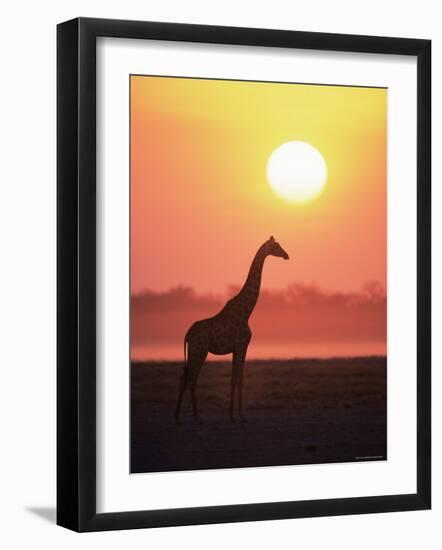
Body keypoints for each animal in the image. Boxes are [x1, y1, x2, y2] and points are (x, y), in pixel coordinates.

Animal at [176, 238, 290, 426]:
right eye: (276, 246)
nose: (286, 255)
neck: (247, 312)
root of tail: (187, 335)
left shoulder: (236, 348)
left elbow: (233, 379)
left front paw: (232, 416)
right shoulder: (242, 345)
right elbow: (240, 379)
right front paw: (241, 416)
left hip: (194, 351)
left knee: (184, 376)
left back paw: (177, 416)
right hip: (199, 351)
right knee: (192, 377)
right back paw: (197, 417)